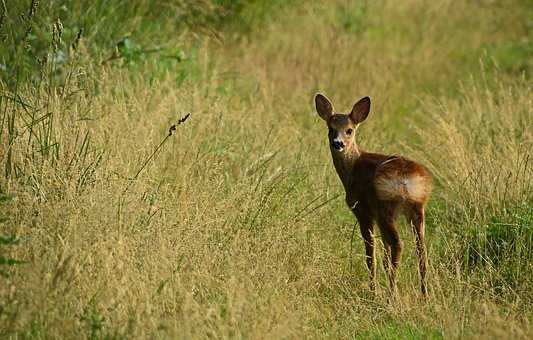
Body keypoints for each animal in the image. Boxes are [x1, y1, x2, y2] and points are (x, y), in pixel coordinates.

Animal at [312, 93, 432, 298]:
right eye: (330, 128)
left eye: (349, 130)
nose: (338, 143)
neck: (353, 168)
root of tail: (407, 179)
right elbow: (383, 256)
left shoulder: (363, 211)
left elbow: (371, 255)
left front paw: (373, 291)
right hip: (416, 209)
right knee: (420, 249)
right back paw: (424, 296)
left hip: (387, 207)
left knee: (398, 244)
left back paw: (392, 295)